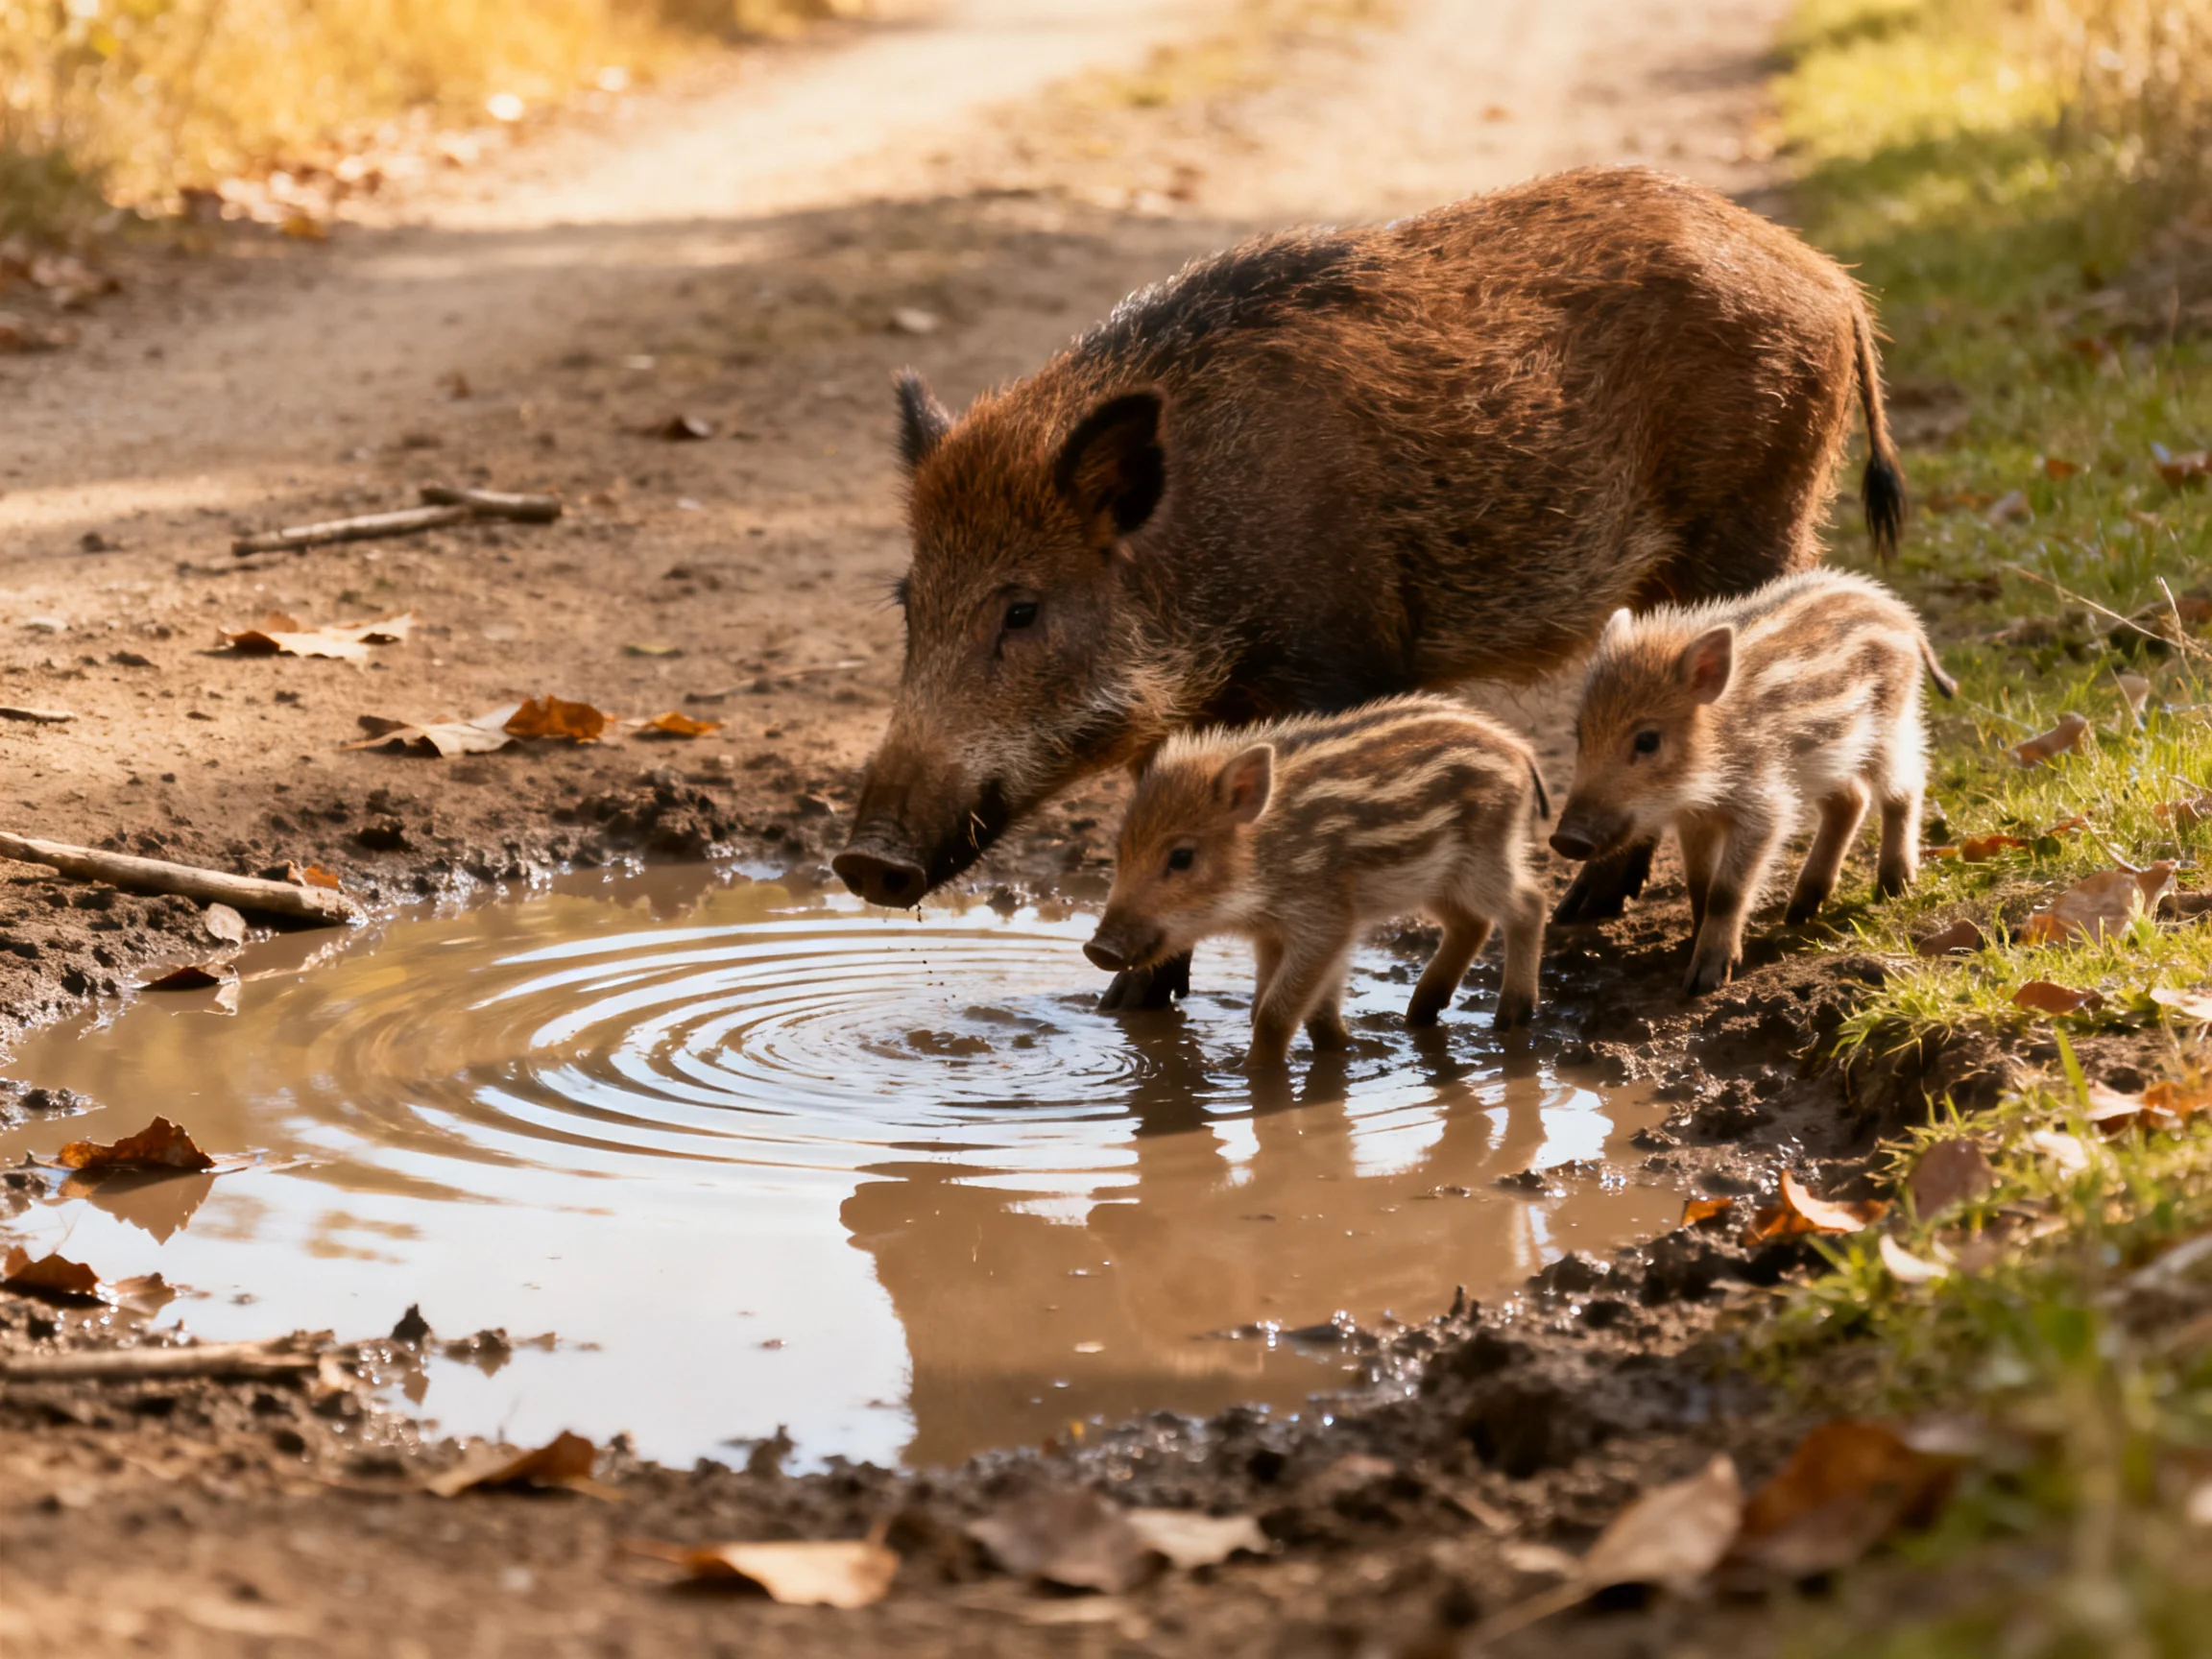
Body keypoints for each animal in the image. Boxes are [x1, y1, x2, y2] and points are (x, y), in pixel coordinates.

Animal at [834, 165, 1907, 1004]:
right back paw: (1588, 907)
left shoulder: (1338, 662)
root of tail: (1833, 281)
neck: (1208, 552)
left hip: (1761, 517)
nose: (864, 860)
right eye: (908, 604)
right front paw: (1134, 1011)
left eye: (1022, 609)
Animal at [1082, 696, 1550, 1064]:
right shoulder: (1275, 934)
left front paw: (1253, 1077)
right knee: (1471, 923)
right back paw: (1418, 1015)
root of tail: (1518, 749)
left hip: (1482, 858)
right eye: (1120, 850)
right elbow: (1286, 1011)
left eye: (1181, 857)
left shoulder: (1325, 918)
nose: (1097, 949)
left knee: (1529, 904)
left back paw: (1511, 1018)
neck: (1265, 859)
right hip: (1437, 880)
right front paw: (1343, 1053)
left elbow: (1272, 1016)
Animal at [1547, 569, 1956, 996]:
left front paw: (1705, 980)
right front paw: (1692, 944)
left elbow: (1726, 891)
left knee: (1906, 786)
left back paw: (1894, 886)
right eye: (1580, 734)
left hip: (1888, 726)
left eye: (1647, 740)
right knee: (1850, 801)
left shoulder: (1764, 804)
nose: (1566, 839)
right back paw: (1800, 911)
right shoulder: (1696, 817)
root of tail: (1901, 613)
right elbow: (1700, 883)